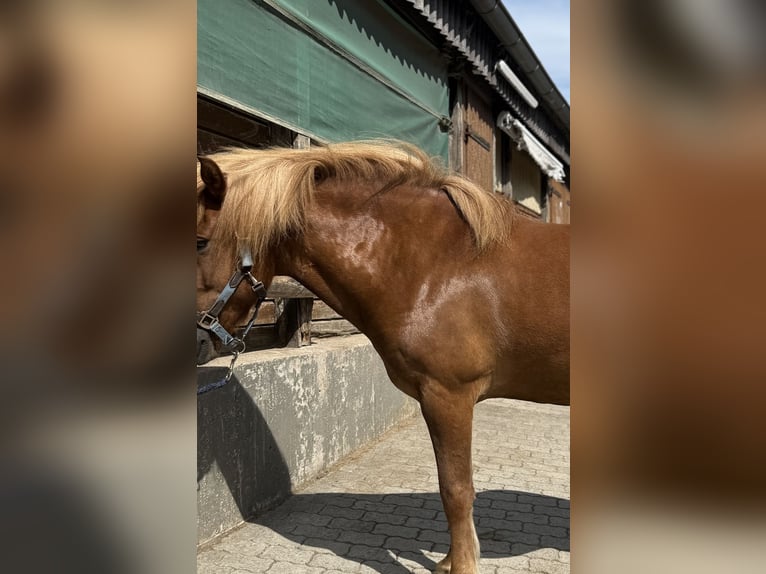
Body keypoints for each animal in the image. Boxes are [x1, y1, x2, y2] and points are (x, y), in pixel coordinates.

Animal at [196, 141, 569, 574]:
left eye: (200, 241)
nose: (193, 343)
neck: (438, 262)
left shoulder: (450, 396)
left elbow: (456, 489)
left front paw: (461, 564)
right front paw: (448, 560)